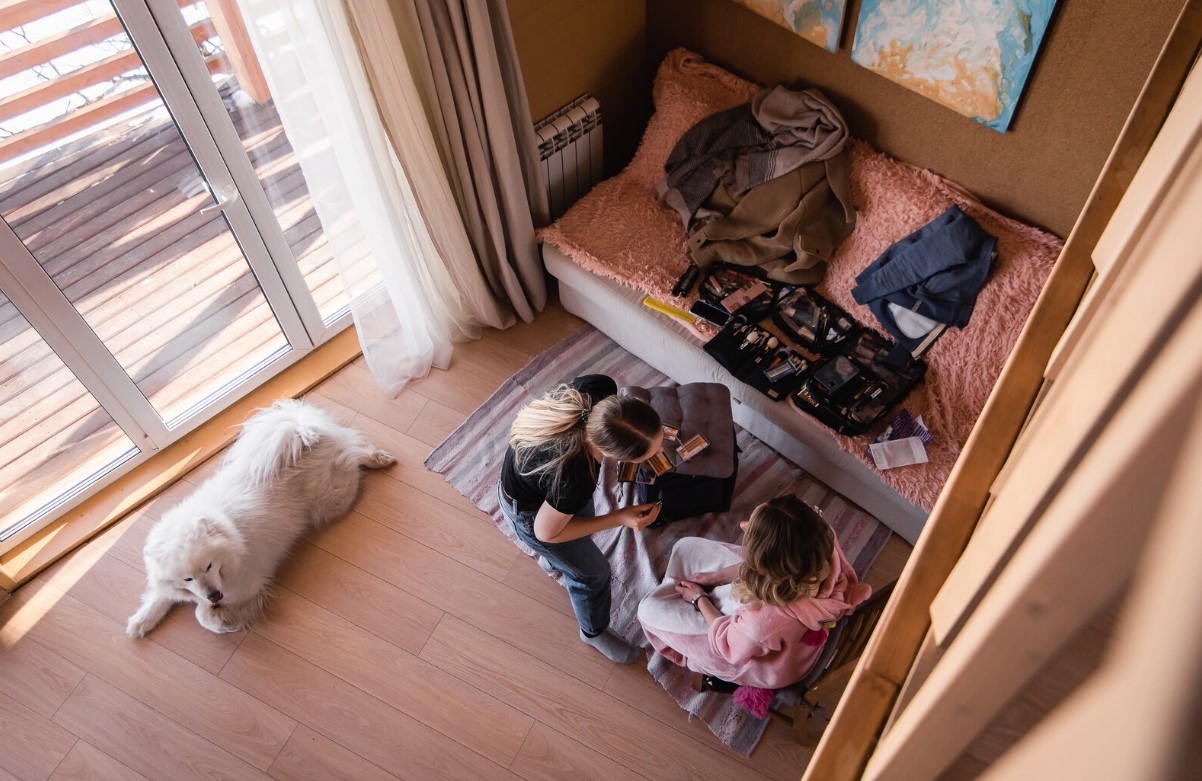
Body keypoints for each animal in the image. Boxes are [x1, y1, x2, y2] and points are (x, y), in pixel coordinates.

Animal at [126, 399, 395, 637]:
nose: (214, 594)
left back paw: (378, 459)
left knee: (352, 454)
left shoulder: (248, 584)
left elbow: (201, 615)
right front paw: (140, 623)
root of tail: (301, 434)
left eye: (209, 566)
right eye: (187, 578)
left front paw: (224, 622)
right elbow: (161, 596)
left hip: (332, 502)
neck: (229, 539)